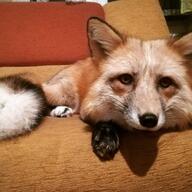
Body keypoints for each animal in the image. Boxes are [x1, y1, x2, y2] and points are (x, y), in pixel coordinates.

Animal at [0, 18, 192, 159]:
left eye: (165, 83)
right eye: (125, 79)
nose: (149, 120)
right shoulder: (90, 108)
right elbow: (107, 120)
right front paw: (106, 136)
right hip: (62, 93)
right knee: (41, 98)